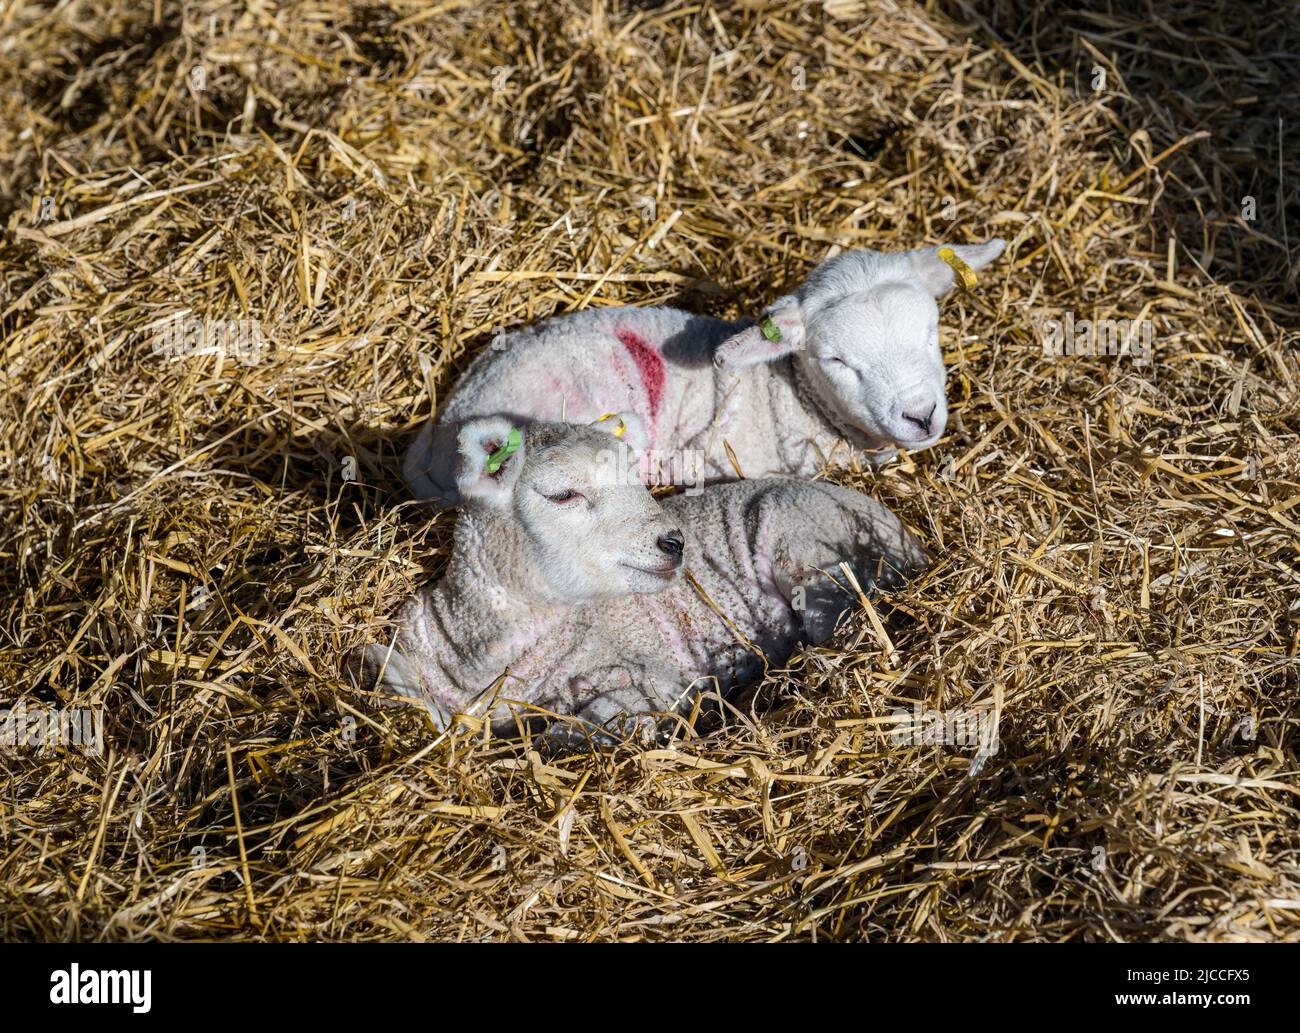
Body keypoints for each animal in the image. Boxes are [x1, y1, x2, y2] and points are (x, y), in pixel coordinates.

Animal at [356, 413, 925, 743]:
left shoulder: (654, 678)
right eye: (563, 494)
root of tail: (909, 534)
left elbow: (590, 725)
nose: (674, 542)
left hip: (808, 543)